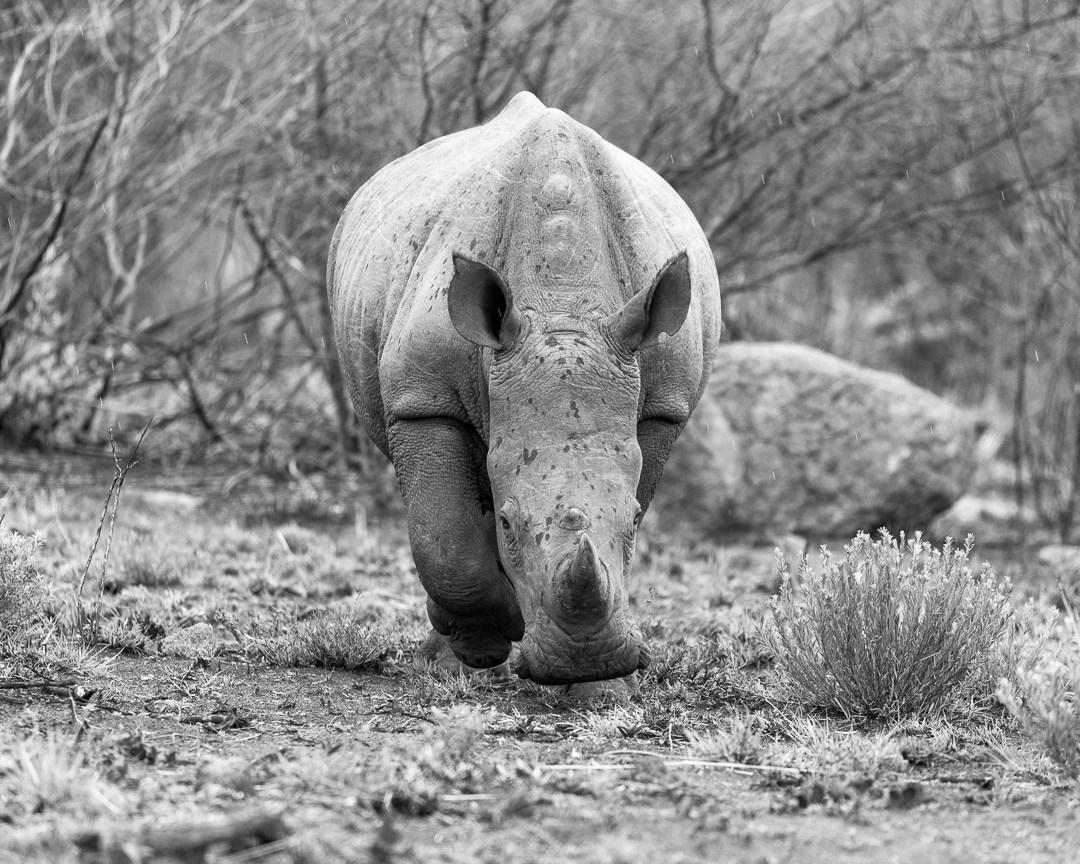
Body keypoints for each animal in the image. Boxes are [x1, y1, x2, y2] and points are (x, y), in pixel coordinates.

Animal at [327, 92, 721, 684]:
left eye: (632, 519)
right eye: (510, 524)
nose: (585, 661)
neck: (564, 308)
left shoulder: (662, 407)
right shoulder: (423, 398)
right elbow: (443, 538)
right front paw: (487, 640)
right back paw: (449, 653)